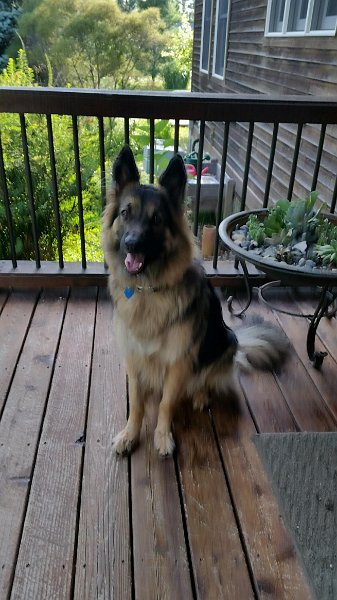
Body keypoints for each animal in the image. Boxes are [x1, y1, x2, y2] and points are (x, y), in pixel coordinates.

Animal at [101, 148, 286, 458]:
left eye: (156, 219)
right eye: (125, 213)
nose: (131, 244)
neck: (149, 289)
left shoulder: (178, 361)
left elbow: (166, 403)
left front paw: (162, 436)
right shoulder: (134, 358)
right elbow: (137, 404)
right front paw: (130, 434)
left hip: (225, 342)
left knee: (208, 379)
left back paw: (200, 395)